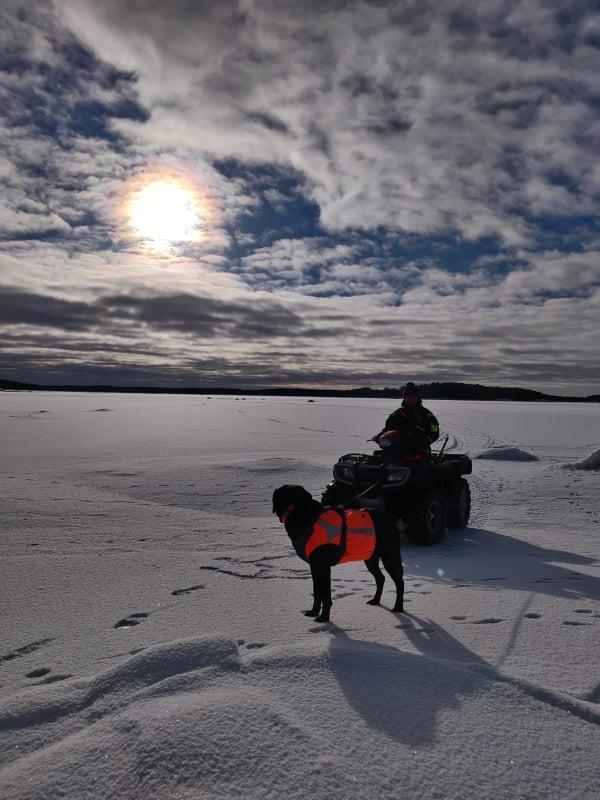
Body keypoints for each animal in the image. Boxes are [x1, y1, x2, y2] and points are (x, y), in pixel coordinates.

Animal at [274, 484, 406, 620]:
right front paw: (314, 612)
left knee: (399, 582)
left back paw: (398, 607)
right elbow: (317, 593)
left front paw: (324, 618)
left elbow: (325, 596)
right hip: (370, 558)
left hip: (390, 556)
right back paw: (376, 600)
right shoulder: (315, 566)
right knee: (381, 578)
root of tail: (390, 519)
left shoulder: (323, 567)